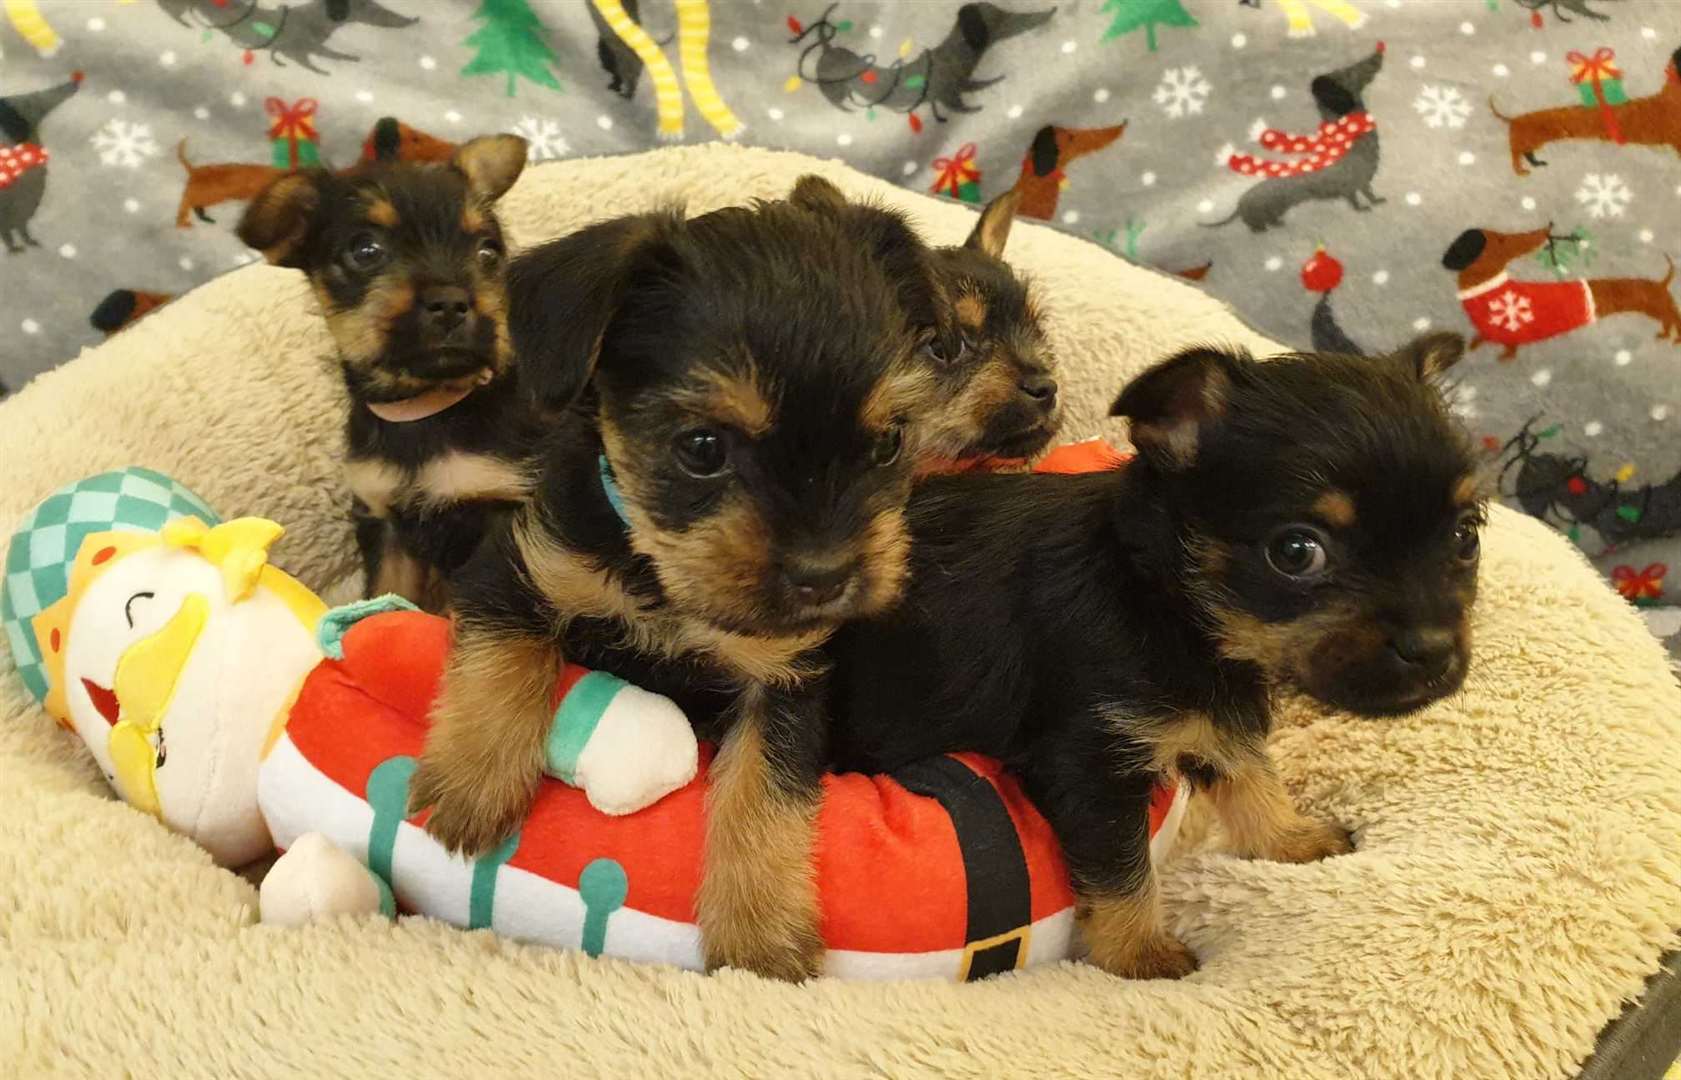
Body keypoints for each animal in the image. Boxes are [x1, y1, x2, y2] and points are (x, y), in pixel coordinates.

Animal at [237, 130, 531, 608]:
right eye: (365, 250)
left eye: (488, 252)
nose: (452, 302)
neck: (424, 408)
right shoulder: (387, 522)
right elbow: (388, 595)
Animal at [400, 189, 941, 982]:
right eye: (702, 447)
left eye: (888, 442)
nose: (824, 577)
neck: (666, 582)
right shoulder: (516, 565)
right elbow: (506, 654)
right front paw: (473, 779)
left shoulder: (786, 676)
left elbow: (764, 787)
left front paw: (759, 931)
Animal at [820, 334, 1479, 975]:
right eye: (1296, 552)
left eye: (1466, 537)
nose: (1433, 650)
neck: (1163, 599)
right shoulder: (1093, 763)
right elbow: (1122, 870)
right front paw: (1141, 954)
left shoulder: (1222, 715)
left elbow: (1251, 778)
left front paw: (1291, 838)